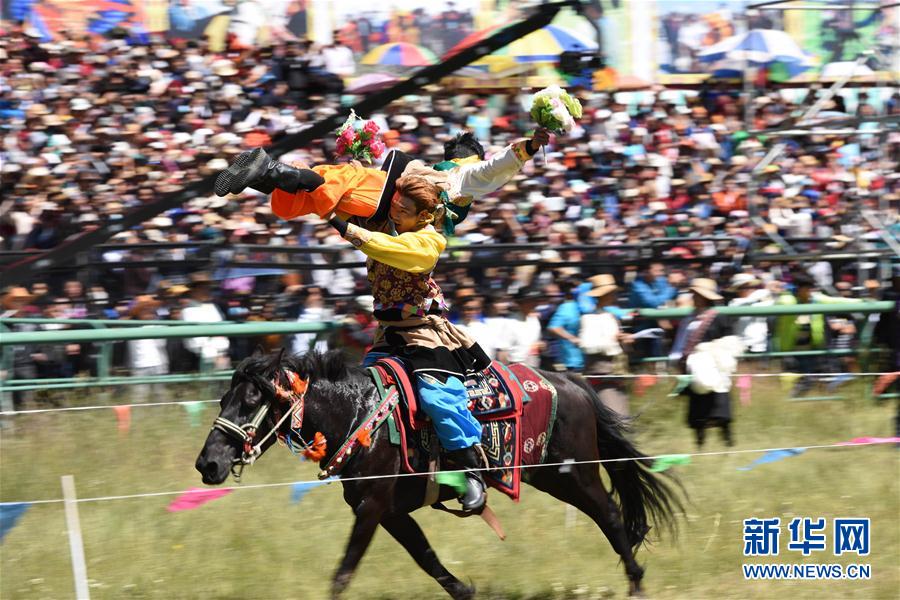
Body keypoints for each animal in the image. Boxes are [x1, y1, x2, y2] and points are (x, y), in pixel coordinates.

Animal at [193, 350, 680, 596]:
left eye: (252, 400)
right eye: (223, 400)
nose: (208, 464)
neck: (359, 415)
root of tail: (573, 382)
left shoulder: (371, 507)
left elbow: (344, 571)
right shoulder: (389, 512)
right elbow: (427, 559)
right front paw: (466, 592)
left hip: (571, 474)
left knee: (611, 516)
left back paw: (636, 584)